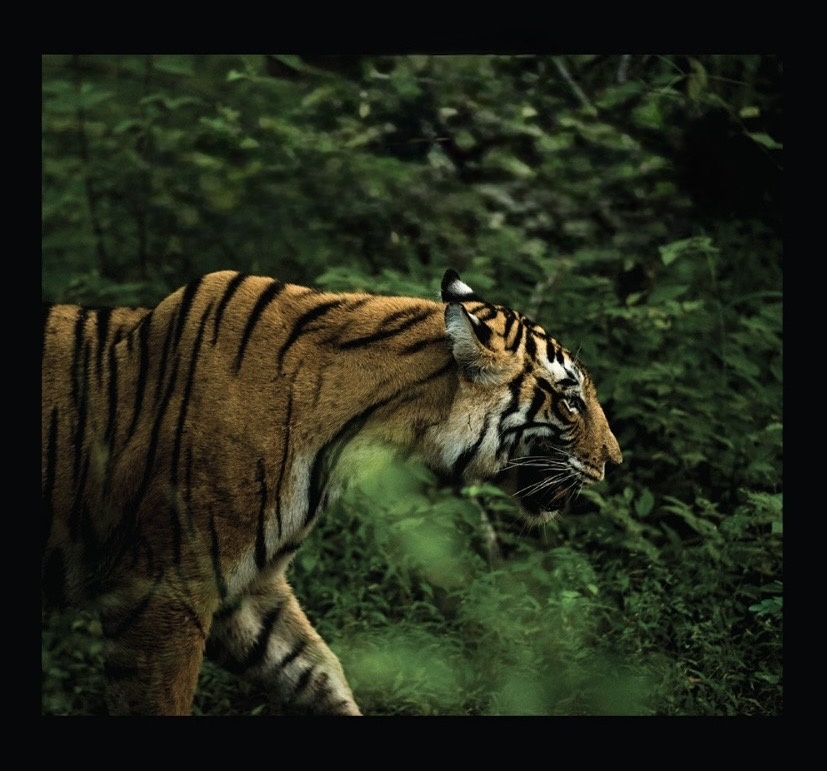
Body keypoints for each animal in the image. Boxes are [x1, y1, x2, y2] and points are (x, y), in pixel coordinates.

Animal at [41, 268, 622, 716]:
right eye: (571, 401)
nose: (615, 462)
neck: (361, 434)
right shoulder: (162, 590)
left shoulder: (248, 592)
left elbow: (319, 674)